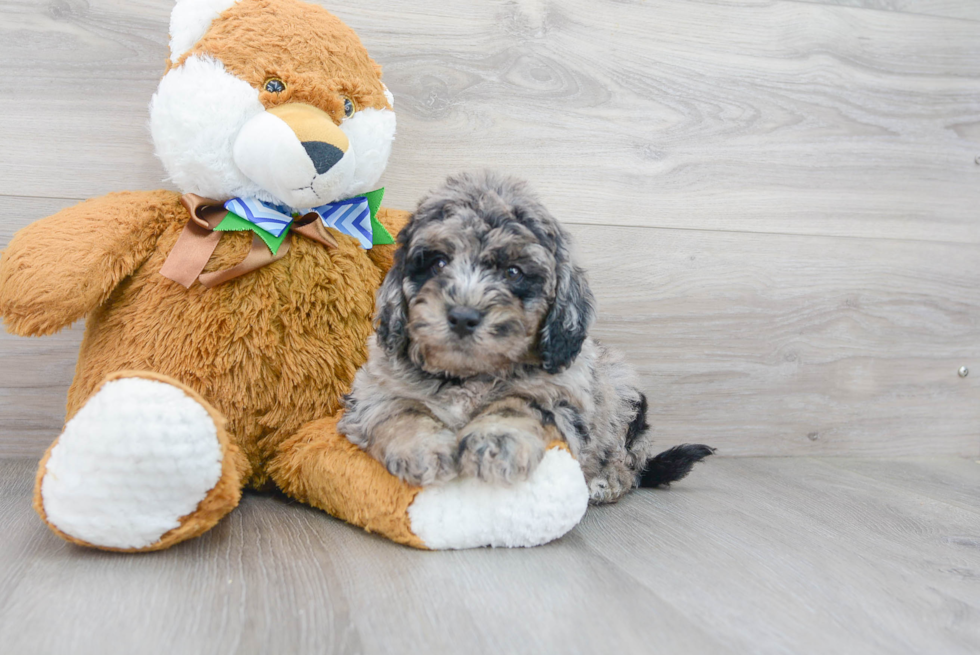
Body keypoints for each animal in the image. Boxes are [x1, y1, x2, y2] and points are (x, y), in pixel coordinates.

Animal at [338, 170, 712, 502]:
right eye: (438, 263)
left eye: (513, 272)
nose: (463, 317)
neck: (468, 376)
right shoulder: (373, 389)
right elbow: (400, 410)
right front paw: (423, 448)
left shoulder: (562, 396)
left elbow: (518, 404)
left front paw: (496, 443)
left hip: (622, 397)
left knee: (630, 464)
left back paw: (605, 483)